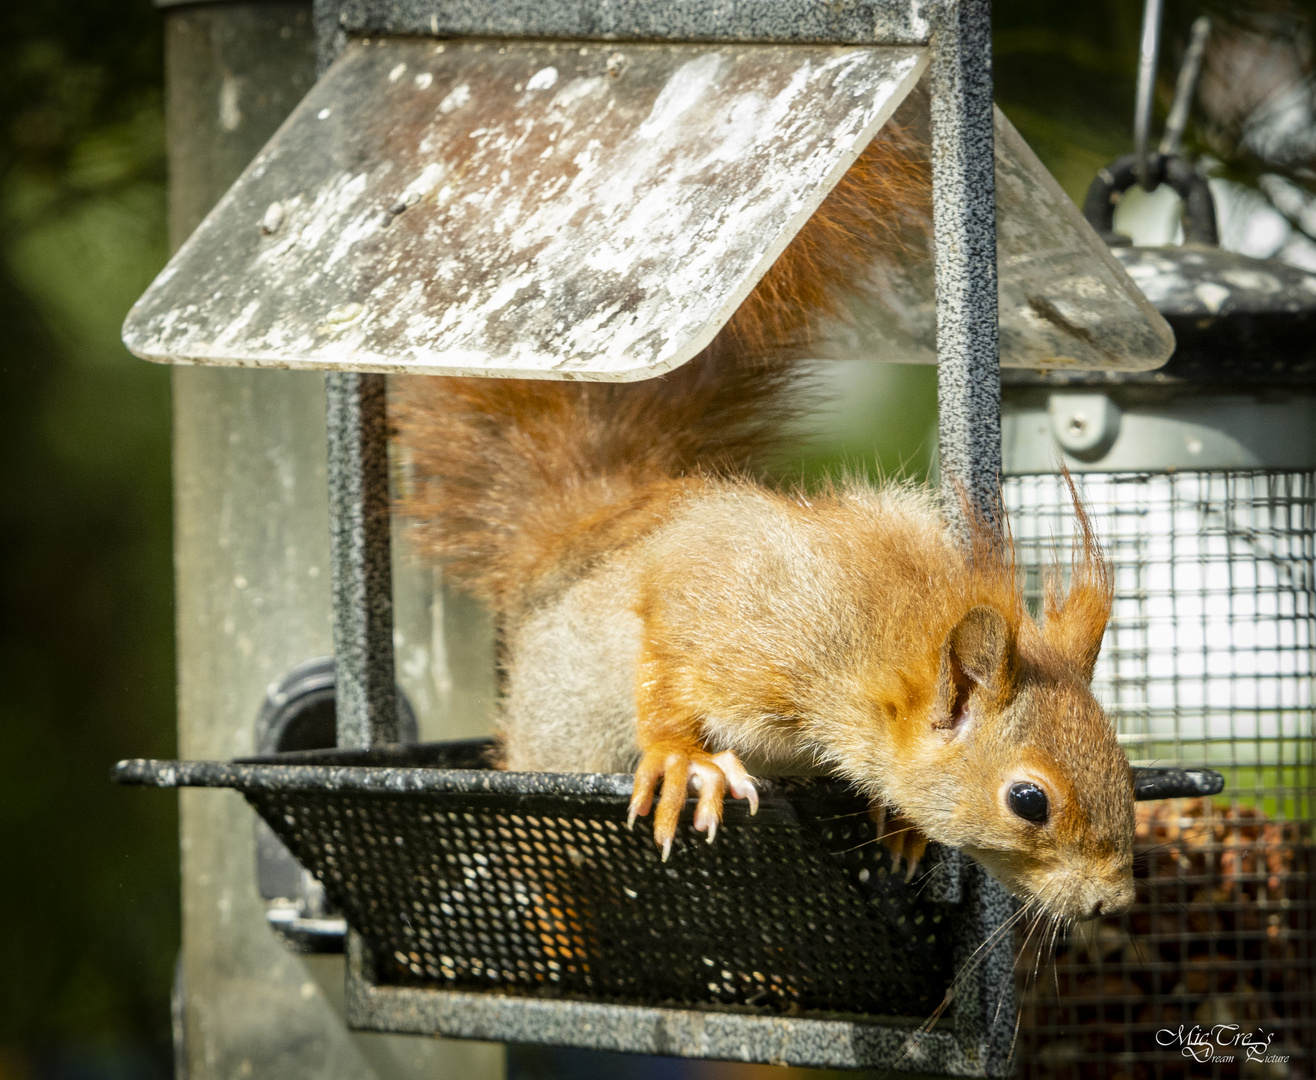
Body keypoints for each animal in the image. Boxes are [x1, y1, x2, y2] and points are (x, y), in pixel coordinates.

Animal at [386, 124, 1131, 920]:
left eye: (1122, 760)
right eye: (1029, 800)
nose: (1112, 902)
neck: (868, 636)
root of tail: (566, 541)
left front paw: (898, 821)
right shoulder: (730, 617)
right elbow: (666, 658)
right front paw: (682, 760)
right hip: (557, 743)